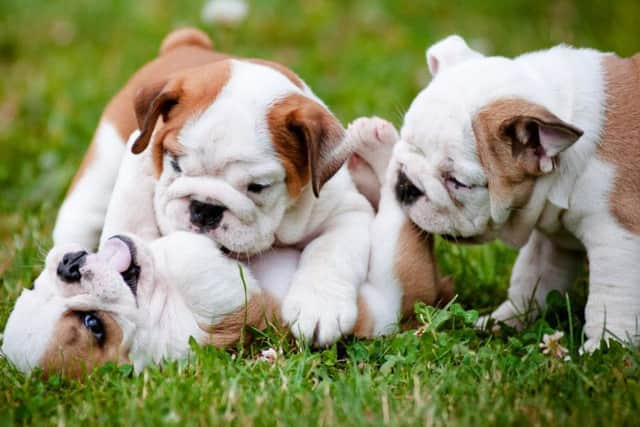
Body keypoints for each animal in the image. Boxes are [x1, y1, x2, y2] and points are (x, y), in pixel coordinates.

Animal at [55, 27, 376, 348]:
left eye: (258, 187)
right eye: (175, 165)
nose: (204, 209)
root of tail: (185, 44)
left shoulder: (347, 212)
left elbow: (330, 252)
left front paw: (320, 307)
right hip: (100, 169)